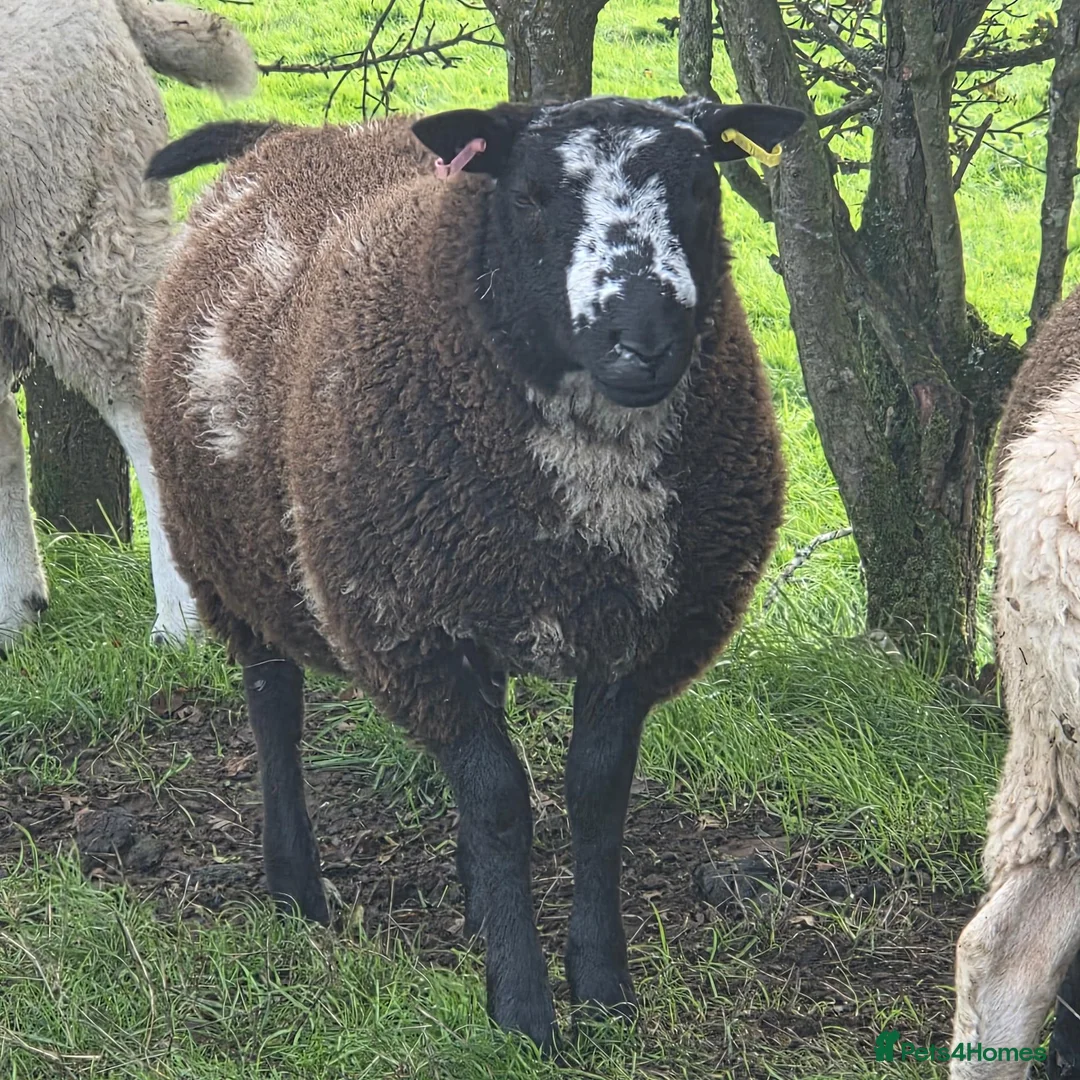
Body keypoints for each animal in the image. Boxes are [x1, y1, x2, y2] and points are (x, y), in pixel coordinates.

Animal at [141, 95, 805, 1048]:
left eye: (702, 184)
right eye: (530, 195)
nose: (643, 342)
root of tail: (292, 135)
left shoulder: (638, 634)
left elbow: (595, 796)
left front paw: (603, 988)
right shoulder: (412, 627)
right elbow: (498, 803)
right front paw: (523, 1013)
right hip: (231, 554)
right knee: (274, 706)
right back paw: (296, 887)